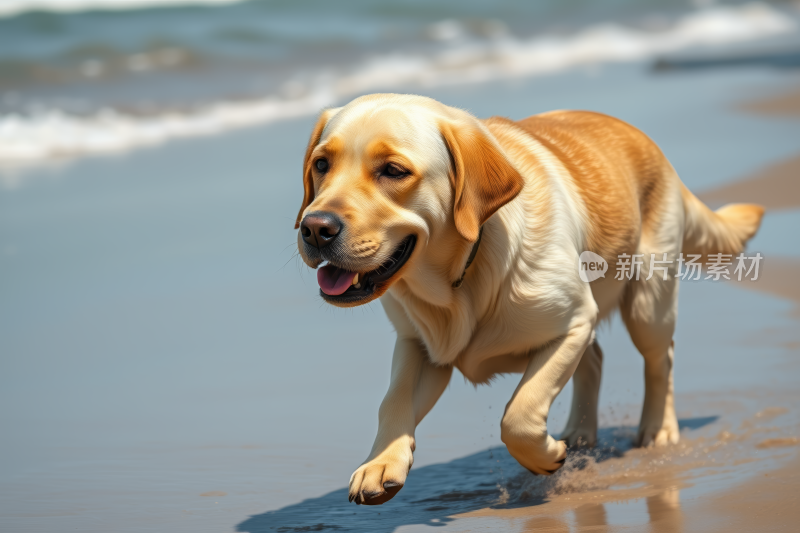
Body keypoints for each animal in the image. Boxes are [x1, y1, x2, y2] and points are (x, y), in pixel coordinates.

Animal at [294, 93, 764, 504]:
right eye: (321, 164)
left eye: (393, 170)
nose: (315, 228)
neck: (462, 279)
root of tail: (644, 139)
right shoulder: (419, 346)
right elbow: (392, 400)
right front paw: (380, 463)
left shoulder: (574, 321)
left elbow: (518, 414)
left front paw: (545, 455)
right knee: (596, 359)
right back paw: (580, 433)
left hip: (649, 299)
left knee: (659, 358)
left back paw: (657, 429)